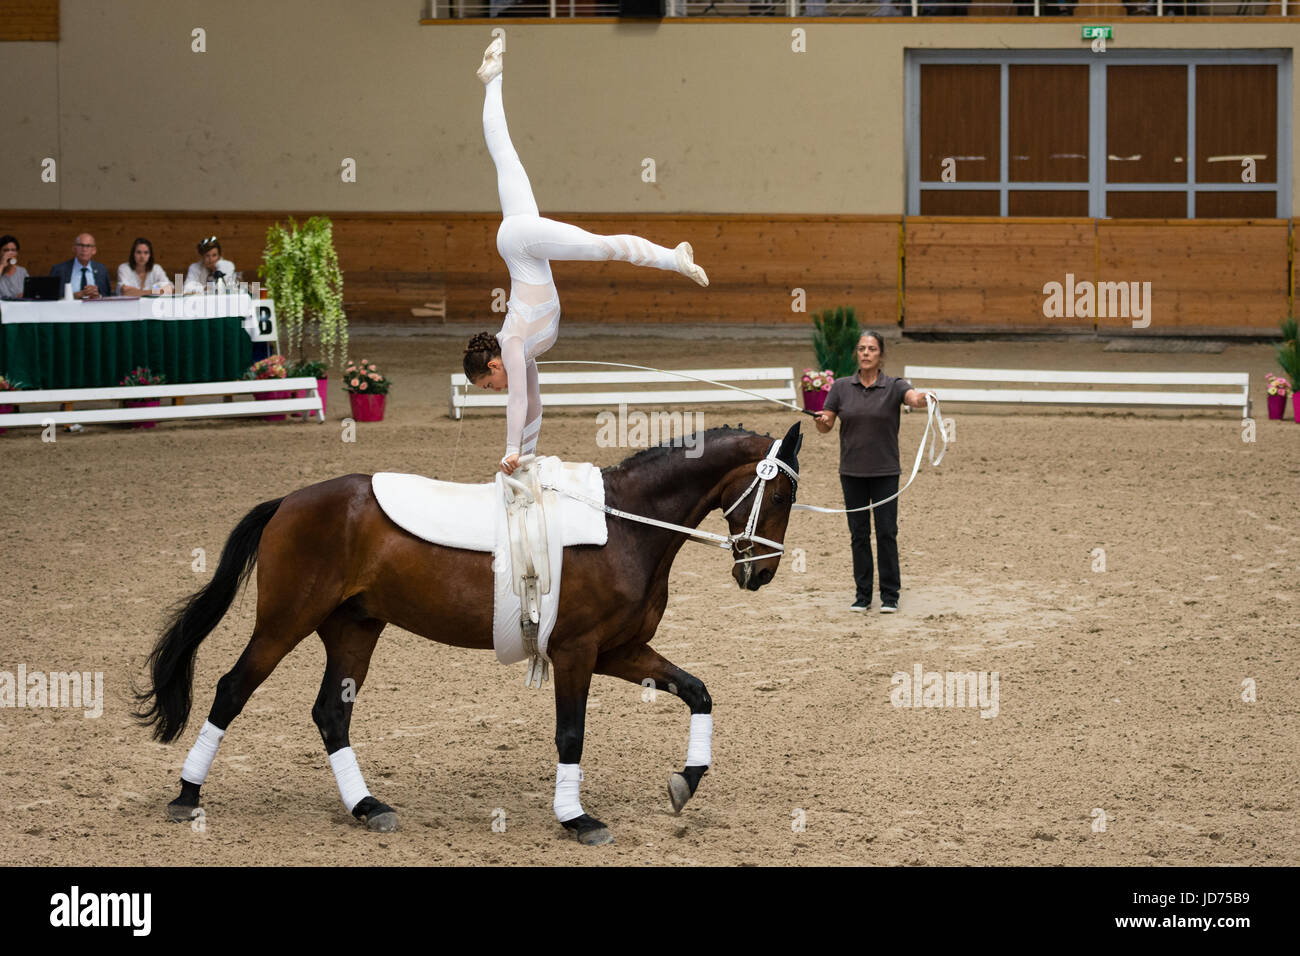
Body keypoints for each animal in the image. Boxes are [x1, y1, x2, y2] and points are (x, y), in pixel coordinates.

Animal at [134, 418, 800, 842]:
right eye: (781, 495)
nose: (762, 573)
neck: (624, 526)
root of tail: (290, 501)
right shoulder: (577, 652)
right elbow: (571, 735)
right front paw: (576, 819)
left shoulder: (619, 650)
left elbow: (698, 690)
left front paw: (686, 782)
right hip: (284, 623)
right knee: (231, 691)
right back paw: (187, 796)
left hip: (354, 630)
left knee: (331, 714)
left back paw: (367, 807)